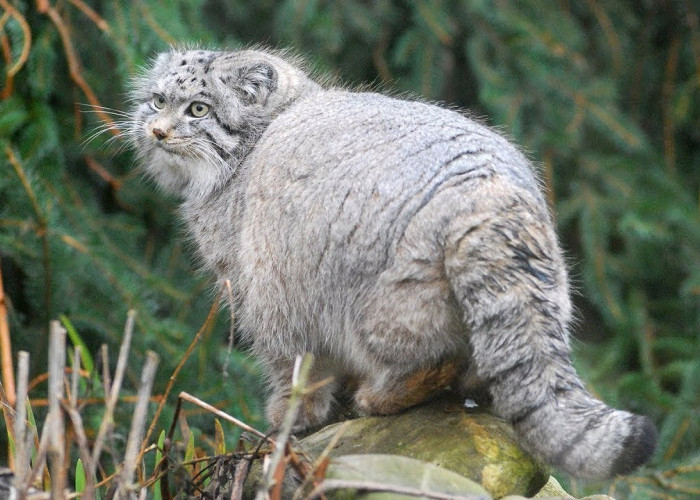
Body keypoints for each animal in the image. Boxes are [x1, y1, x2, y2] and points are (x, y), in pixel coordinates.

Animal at [124, 47, 656, 480]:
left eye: (198, 109)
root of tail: (487, 192)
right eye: (157, 100)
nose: (156, 130)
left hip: (376, 307)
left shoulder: (264, 296)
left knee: (428, 357)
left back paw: (381, 397)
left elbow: (295, 370)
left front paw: (290, 418)